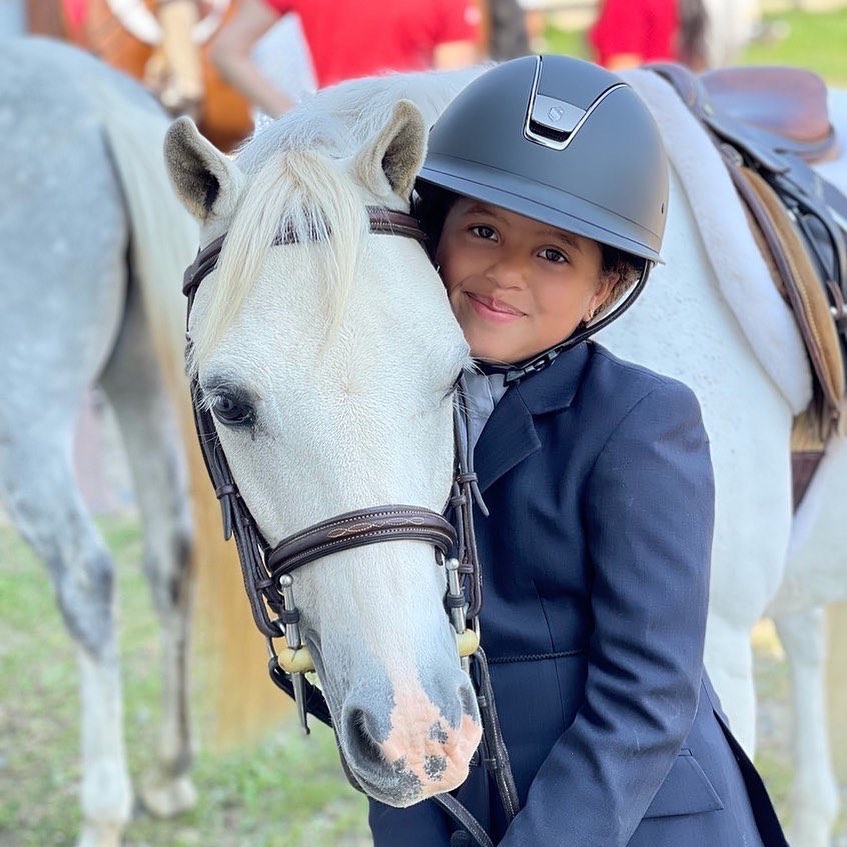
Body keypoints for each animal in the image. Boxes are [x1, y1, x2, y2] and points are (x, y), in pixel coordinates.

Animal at [0, 36, 202, 844]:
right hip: (138, 376)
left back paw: (104, 808)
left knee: (88, 576)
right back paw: (168, 774)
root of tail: (93, 96)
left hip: (24, 415)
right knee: (170, 553)